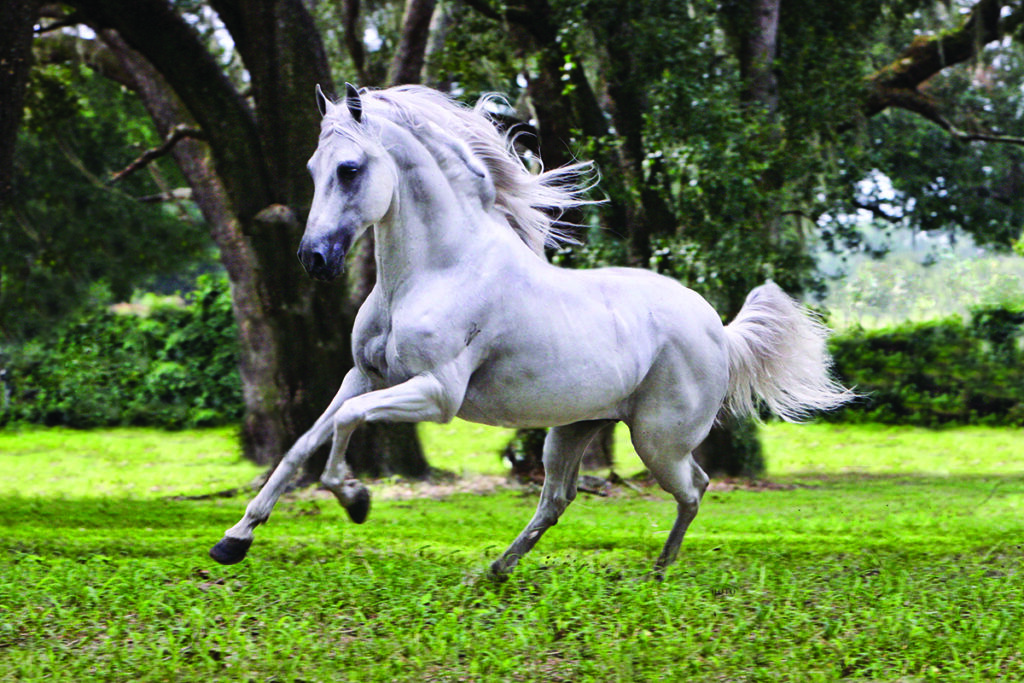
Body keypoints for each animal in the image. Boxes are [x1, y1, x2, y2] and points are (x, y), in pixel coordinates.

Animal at [205, 82, 847, 581]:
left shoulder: (436, 394)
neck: (439, 269)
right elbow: (302, 443)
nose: (314, 259)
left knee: (695, 487)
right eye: (314, 169)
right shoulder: (362, 375)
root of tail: (719, 328)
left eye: (350, 168)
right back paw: (495, 570)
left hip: (658, 441)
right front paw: (234, 539)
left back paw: (658, 572)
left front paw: (355, 498)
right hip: (572, 429)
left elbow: (343, 425)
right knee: (557, 498)